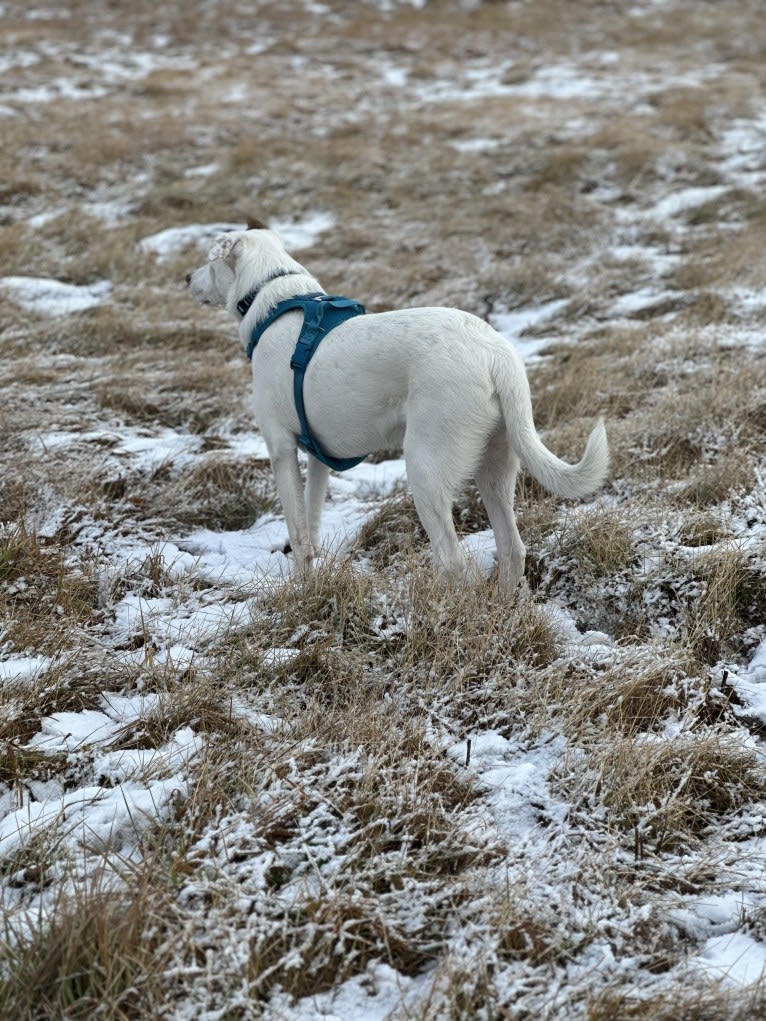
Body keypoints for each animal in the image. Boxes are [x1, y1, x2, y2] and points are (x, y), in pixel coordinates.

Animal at [184, 223, 604, 592]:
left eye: (207, 261)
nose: (186, 277)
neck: (272, 298)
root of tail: (496, 356)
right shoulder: (319, 458)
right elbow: (313, 524)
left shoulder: (281, 449)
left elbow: (299, 534)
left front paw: (299, 588)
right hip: (496, 467)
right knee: (512, 549)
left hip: (425, 468)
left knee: (451, 559)